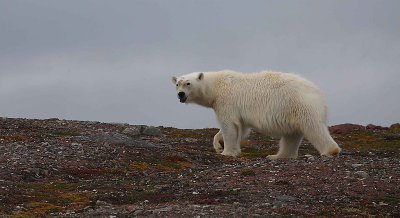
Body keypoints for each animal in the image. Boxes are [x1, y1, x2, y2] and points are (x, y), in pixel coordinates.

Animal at [172, 70, 340, 159]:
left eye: (188, 83)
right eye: (177, 84)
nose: (180, 94)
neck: (216, 86)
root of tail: (319, 94)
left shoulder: (226, 101)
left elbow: (229, 125)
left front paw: (226, 152)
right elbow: (241, 127)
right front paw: (218, 144)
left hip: (301, 105)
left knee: (314, 128)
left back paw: (330, 151)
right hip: (292, 111)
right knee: (291, 135)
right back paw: (277, 156)